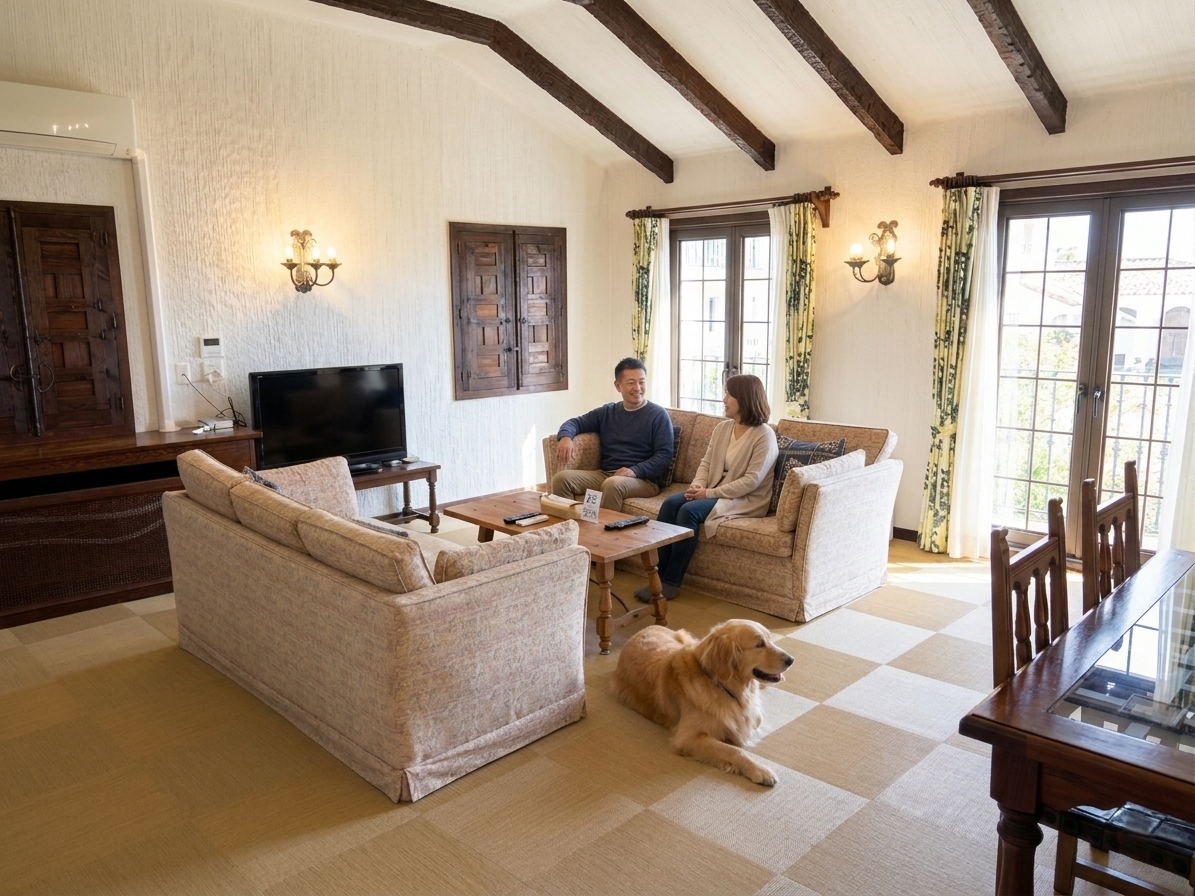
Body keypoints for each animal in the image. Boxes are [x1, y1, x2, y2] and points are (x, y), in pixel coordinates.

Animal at [612, 619, 794, 786]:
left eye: (769, 639)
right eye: (759, 644)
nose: (791, 659)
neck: (720, 684)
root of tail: (644, 628)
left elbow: (753, 720)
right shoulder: (688, 738)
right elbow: (733, 750)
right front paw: (759, 770)